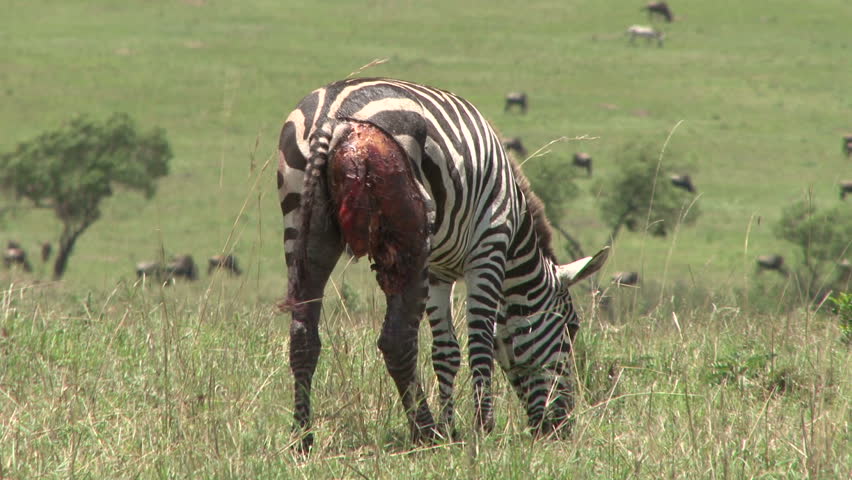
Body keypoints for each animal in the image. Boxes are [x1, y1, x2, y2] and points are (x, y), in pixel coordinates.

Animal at [278, 77, 604, 452]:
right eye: (573, 327)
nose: (560, 429)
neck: (516, 238)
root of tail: (331, 115)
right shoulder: (488, 249)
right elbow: (479, 343)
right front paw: (481, 429)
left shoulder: (437, 272)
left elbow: (446, 352)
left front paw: (453, 430)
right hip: (410, 236)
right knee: (397, 341)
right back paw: (424, 432)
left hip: (303, 223)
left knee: (303, 335)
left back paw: (303, 437)